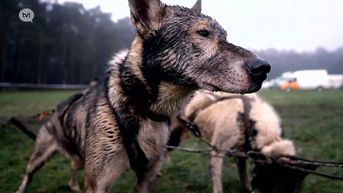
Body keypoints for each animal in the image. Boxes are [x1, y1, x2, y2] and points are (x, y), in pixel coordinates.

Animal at [16, 0, 270, 191]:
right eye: (203, 33)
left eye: (225, 36)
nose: (264, 68)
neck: (144, 109)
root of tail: (56, 109)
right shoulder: (98, 183)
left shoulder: (147, 176)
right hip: (39, 156)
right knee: (28, 174)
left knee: (73, 166)